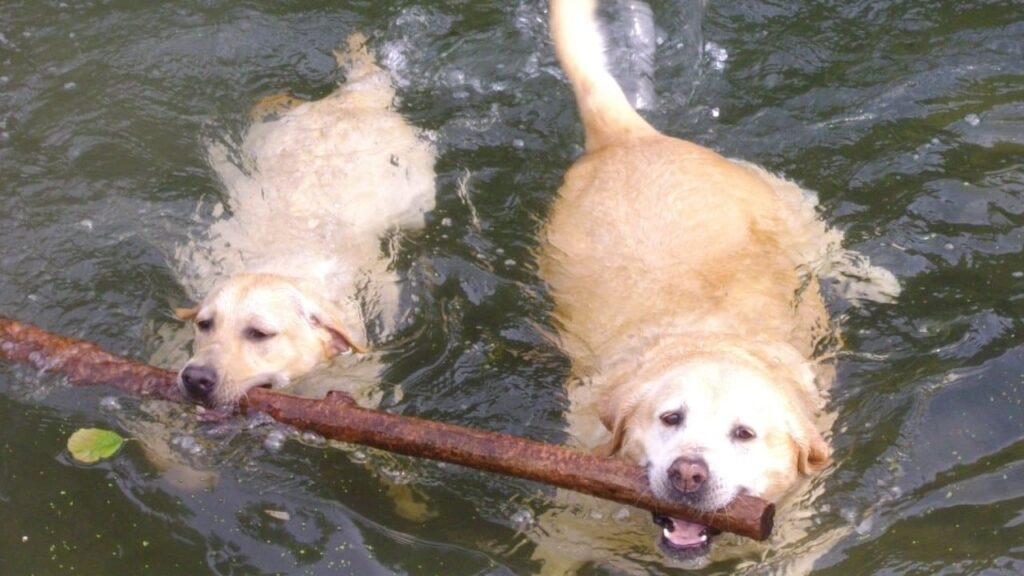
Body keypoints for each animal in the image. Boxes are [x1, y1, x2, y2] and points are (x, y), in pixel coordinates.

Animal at [171, 33, 432, 405]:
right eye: (205, 324)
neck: (283, 267)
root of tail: (355, 97)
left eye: (259, 334)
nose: (194, 377)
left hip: (417, 201)